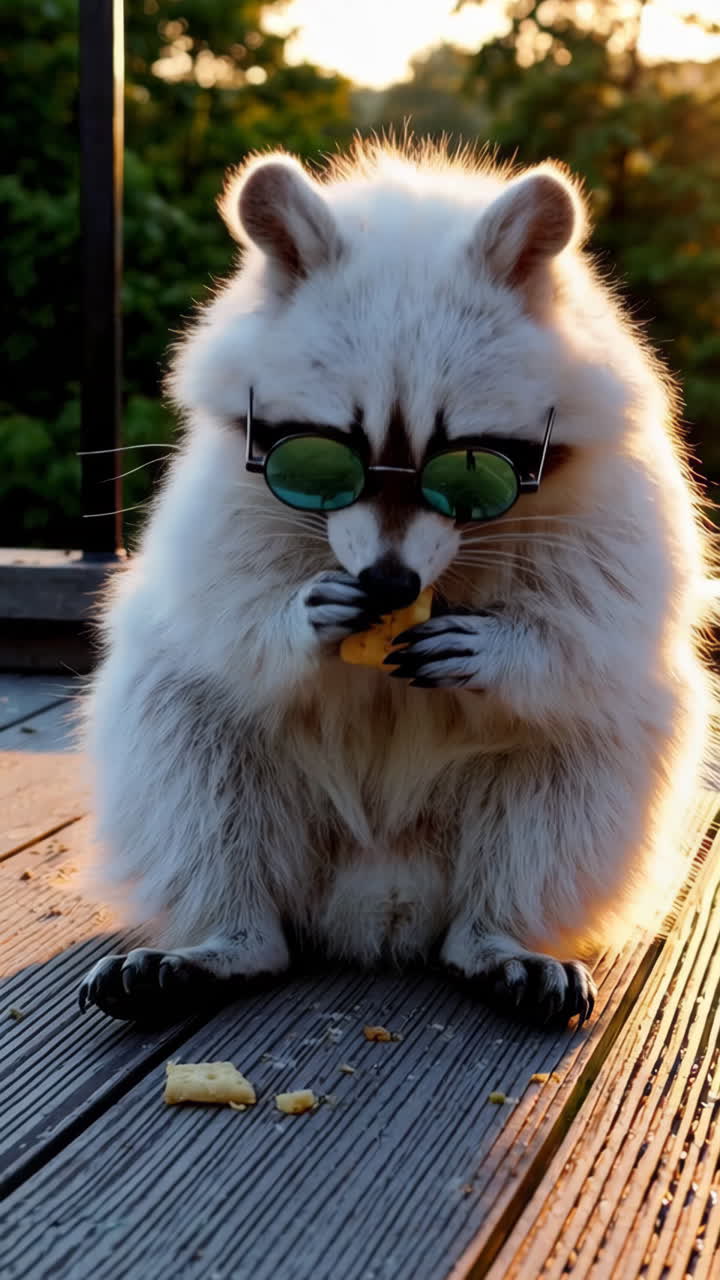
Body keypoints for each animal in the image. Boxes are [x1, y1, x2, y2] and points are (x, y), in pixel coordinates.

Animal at [78, 141, 715, 1028]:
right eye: (322, 459)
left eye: (471, 467)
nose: (386, 582)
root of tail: (381, 900)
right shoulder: (227, 491)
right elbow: (217, 605)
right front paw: (297, 617)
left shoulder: (612, 489)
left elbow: (605, 620)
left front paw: (509, 646)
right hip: (232, 791)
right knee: (184, 744)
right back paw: (232, 932)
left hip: (560, 794)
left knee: (582, 773)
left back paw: (498, 929)